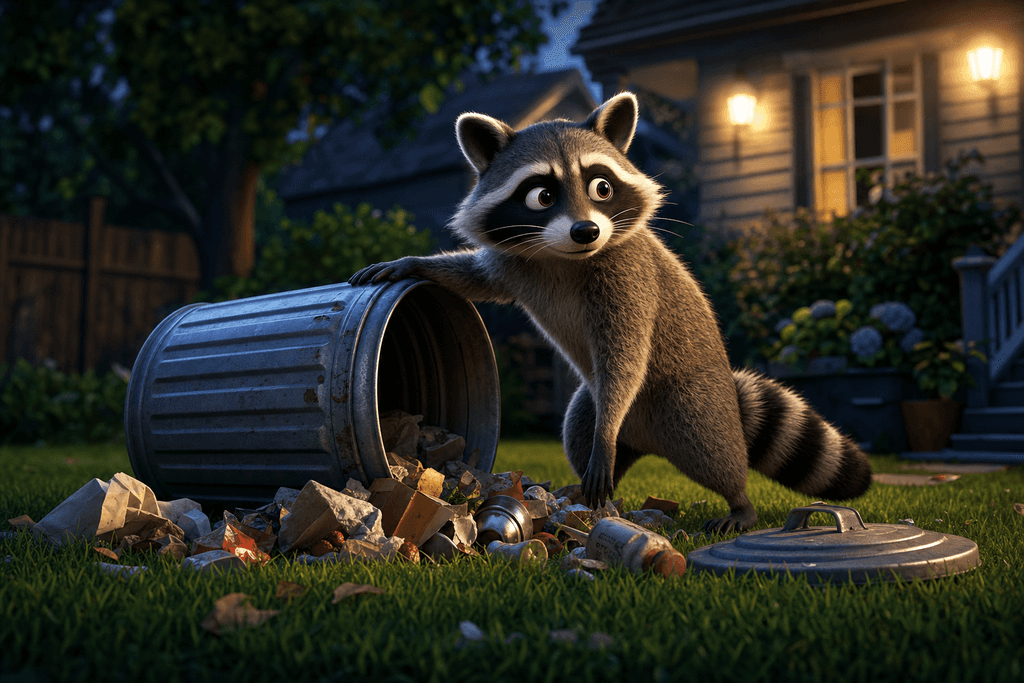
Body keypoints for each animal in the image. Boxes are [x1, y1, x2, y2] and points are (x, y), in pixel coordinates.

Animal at [350, 92, 872, 532]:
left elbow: (626, 356)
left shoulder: (628, 277)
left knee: (709, 446)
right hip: (590, 403)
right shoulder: (515, 263)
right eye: (541, 195)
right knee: (579, 431)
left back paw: (737, 500)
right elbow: (478, 278)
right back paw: (591, 486)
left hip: (690, 398)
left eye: (602, 186)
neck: (562, 256)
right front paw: (415, 264)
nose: (586, 231)